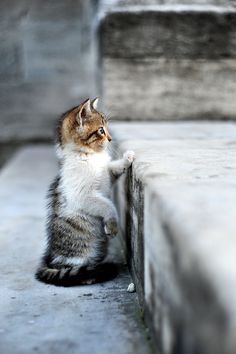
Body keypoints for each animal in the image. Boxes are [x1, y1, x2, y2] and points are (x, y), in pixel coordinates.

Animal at [35, 98, 135, 286]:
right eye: (101, 130)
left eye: (107, 128)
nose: (111, 139)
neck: (88, 156)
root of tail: (50, 258)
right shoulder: (83, 196)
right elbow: (107, 205)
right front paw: (112, 225)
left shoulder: (107, 175)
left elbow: (112, 168)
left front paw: (127, 158)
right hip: (79, 253)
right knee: (71, 269)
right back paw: (89, 274)